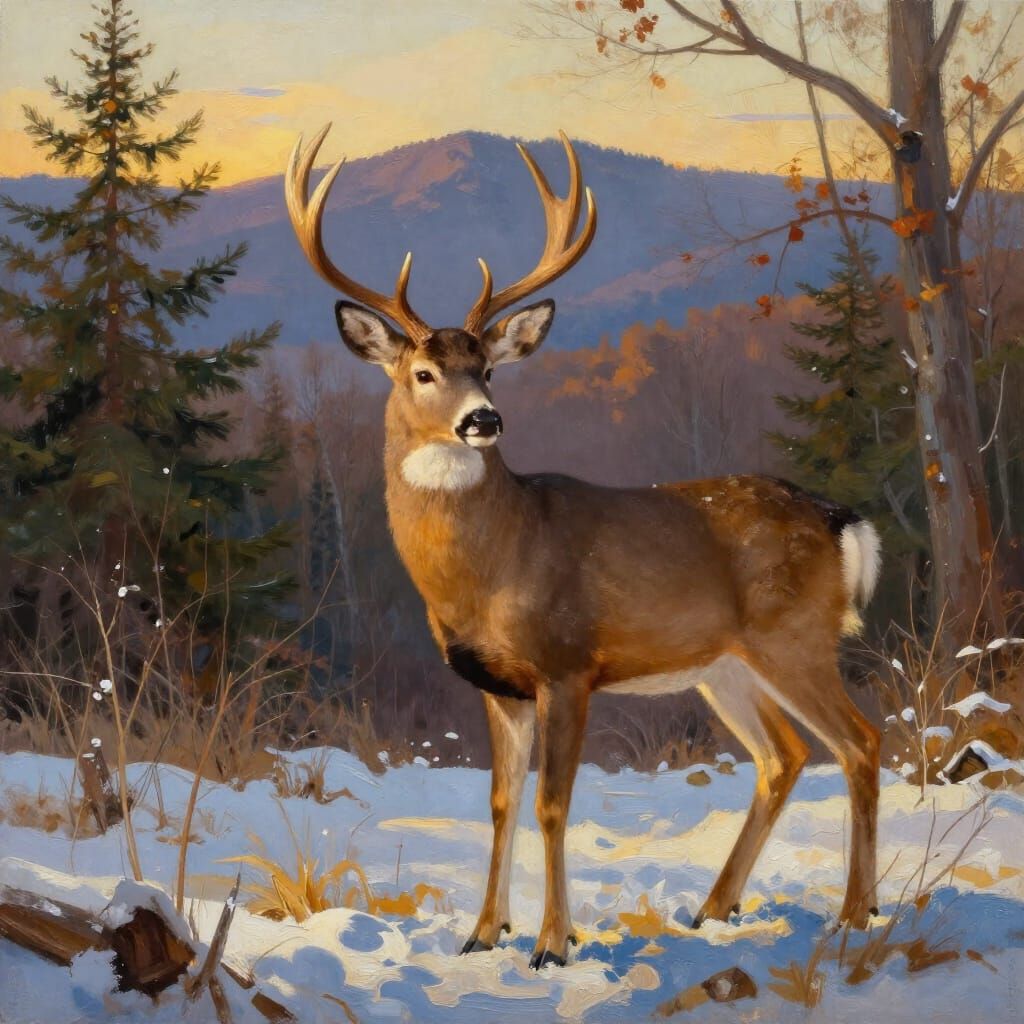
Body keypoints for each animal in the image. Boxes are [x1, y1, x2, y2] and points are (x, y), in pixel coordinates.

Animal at [285, 125, 883, 969]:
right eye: (424, 372)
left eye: (490, 368)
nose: (483, 420)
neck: (491, 565)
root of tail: (839, 520)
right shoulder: (497, 684)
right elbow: (501, 802)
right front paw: (482, 934)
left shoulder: (567, 665)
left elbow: (552, 802)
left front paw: (552, 944)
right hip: (726, 666)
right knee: (784, 755)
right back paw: (713, 909)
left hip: (794, 637)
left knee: (860, 743)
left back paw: (856, 914)